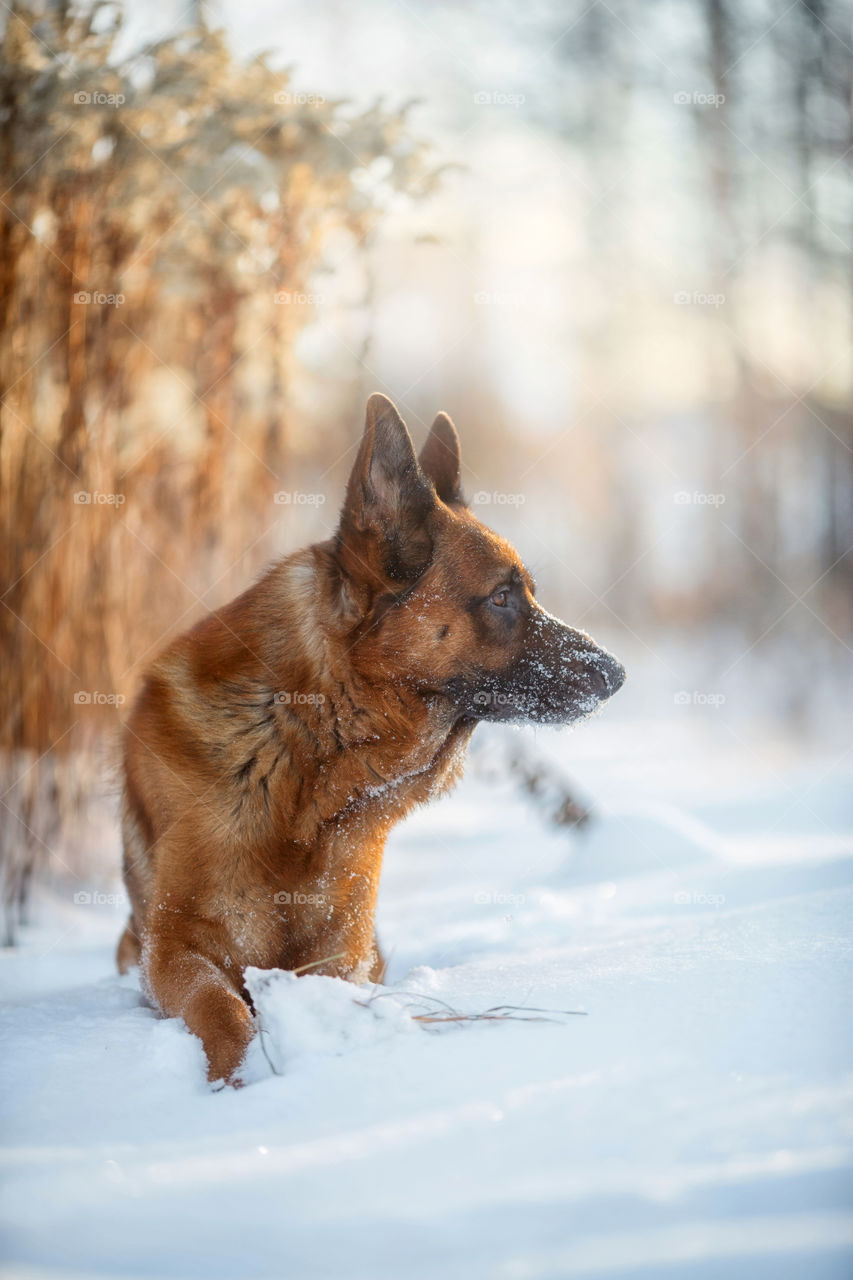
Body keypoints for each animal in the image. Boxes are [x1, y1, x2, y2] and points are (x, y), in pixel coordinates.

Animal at [117, 394, 625, 1085]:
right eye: (501, 598)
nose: (618, 674)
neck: (308, 751)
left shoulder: (344, 956)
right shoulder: (171, 949)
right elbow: (221, 1009)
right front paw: (237, 1081)